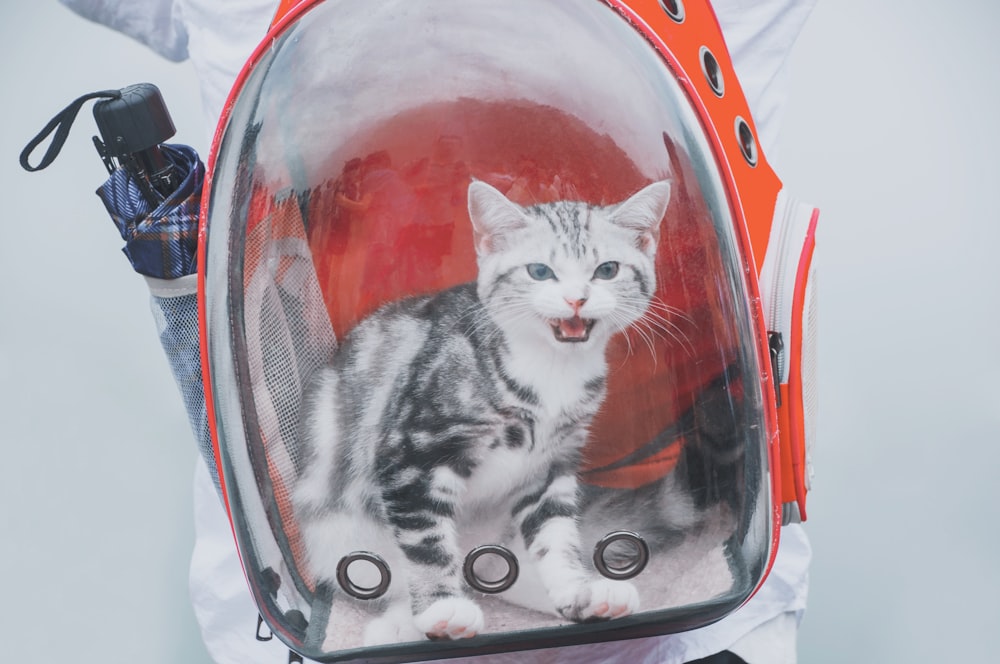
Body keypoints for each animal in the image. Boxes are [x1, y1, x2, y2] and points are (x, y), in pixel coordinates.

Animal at [292, 176, 676, 644]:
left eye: (607, 270)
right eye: (540, 271)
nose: (576, 299)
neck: (550, 373)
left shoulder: (551, 464)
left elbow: (555, 534)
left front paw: (575, 587)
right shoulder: (412, 454)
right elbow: (426, 541)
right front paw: (441, 608)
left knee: (500, 570)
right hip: (339, 530)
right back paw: (401, 624)